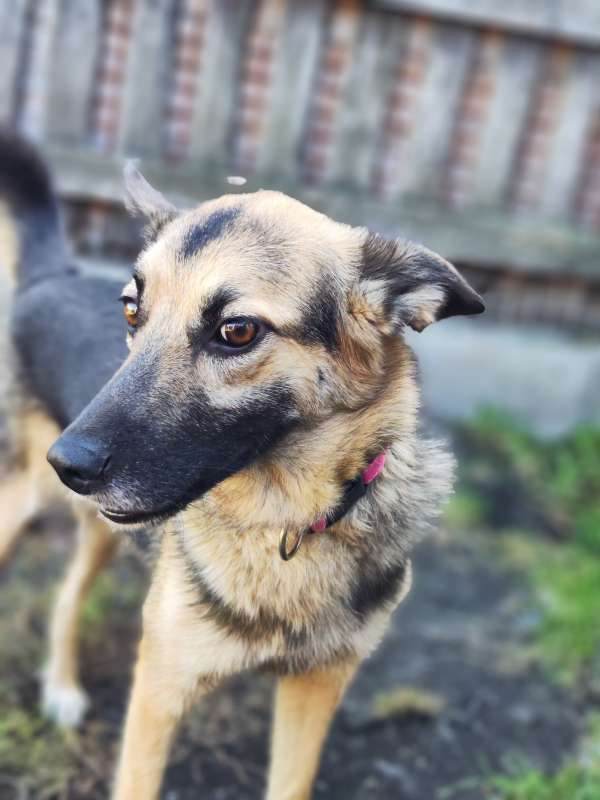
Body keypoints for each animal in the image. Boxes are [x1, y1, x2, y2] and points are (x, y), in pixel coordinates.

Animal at [0, 129, 484, 799]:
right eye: (131, 310)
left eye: (236, 331)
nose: (66, 463)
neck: (285, 521)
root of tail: (55, 273)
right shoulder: (159, 691)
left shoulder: (315, 689)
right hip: (22, 502)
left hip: (98, 528)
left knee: (69, 591)